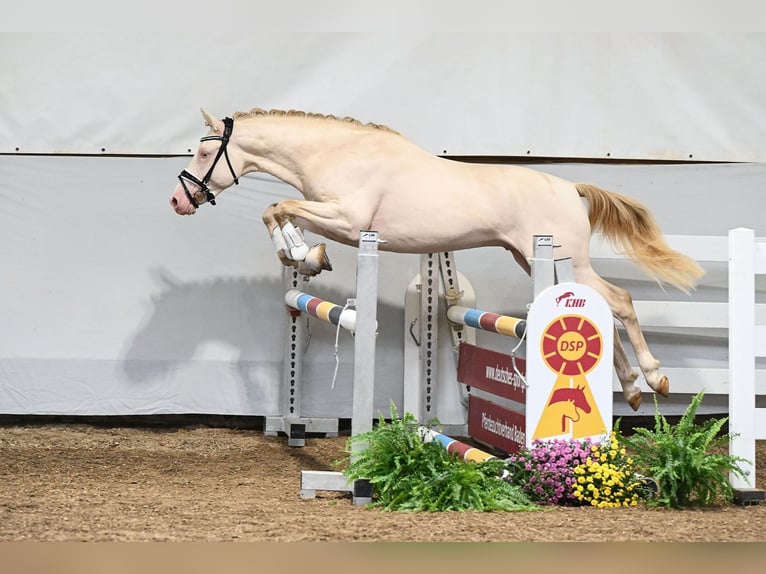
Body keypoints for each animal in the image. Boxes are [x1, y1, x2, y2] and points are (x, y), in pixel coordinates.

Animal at [171, 108, 704, 412]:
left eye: (203, 153)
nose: (178, 202)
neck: (337, 152)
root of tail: (571, 187)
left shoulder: (348, 220)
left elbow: (278, 207)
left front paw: (304, 253)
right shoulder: (333, 217)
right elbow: (275, 210)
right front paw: (303, 255)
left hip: (562, 258)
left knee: (619, 302)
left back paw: (654, 377)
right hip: (533, 259)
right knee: (601, 310)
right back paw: (631, 388)